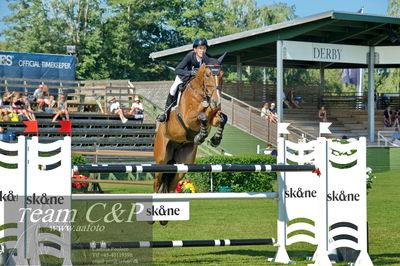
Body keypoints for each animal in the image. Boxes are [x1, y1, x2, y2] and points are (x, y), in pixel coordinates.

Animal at [153, 52, 228, 197]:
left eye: (222, 74)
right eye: (208, 75)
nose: (216, 102)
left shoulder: (214, 116)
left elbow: (222, 118)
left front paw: (215, 139)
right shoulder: (188, 118)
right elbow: (201, 116)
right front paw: (200, 136)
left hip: (183, 163)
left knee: (172, 185)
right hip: (161, 160)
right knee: (157, 183)